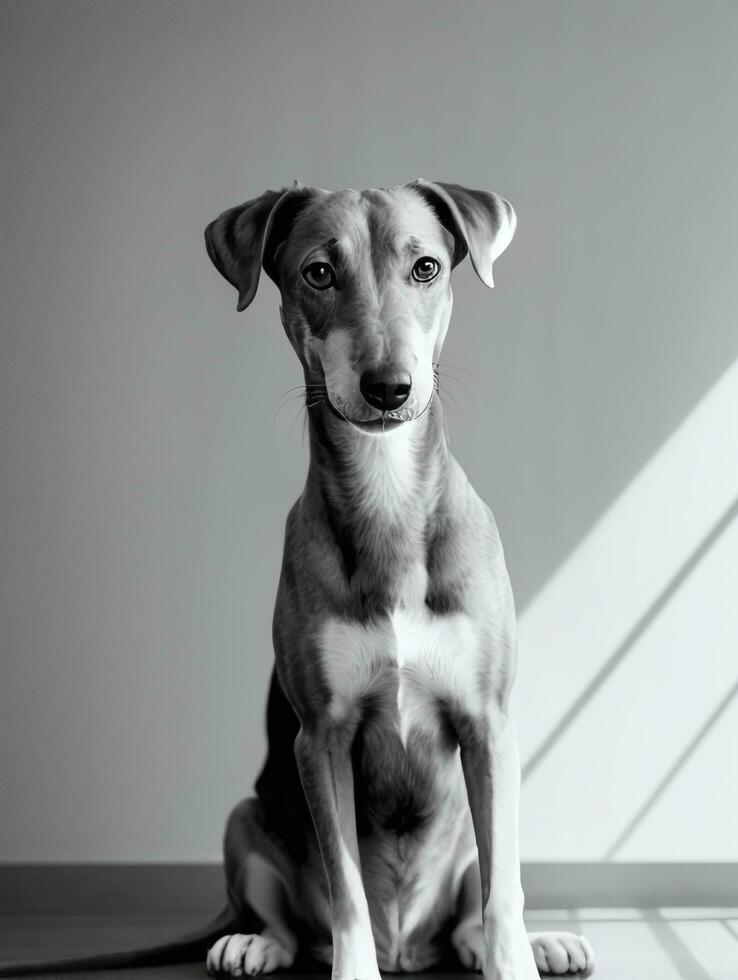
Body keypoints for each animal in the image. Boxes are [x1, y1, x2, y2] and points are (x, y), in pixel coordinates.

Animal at [0, 180, 592, 976]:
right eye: (318, 273)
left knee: (473, 912)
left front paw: (516, 957)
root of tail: (410, 945)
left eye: (427, 268)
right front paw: (349, 964)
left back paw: (542, 941)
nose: (388, 386)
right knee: (290, 919)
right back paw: (253, 943)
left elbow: (503, 893)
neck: (387, 492)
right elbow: (346, 892)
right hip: (246, 817)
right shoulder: (322, 737)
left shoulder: (486, 724)